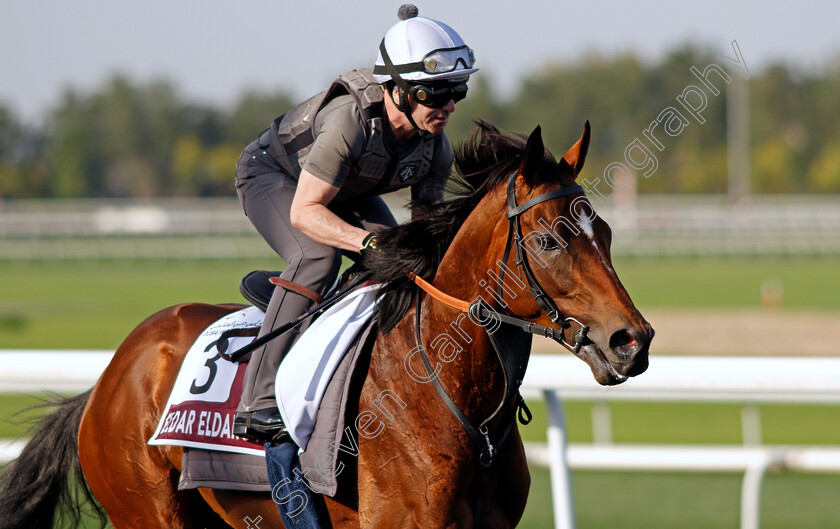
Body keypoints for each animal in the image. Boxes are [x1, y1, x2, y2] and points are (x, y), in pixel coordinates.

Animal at [0, 121, 652, 524]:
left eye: (604, 231)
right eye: (548, 240)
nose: (633, 341)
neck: (444, 391)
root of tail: (103, 383)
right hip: (148, 512)